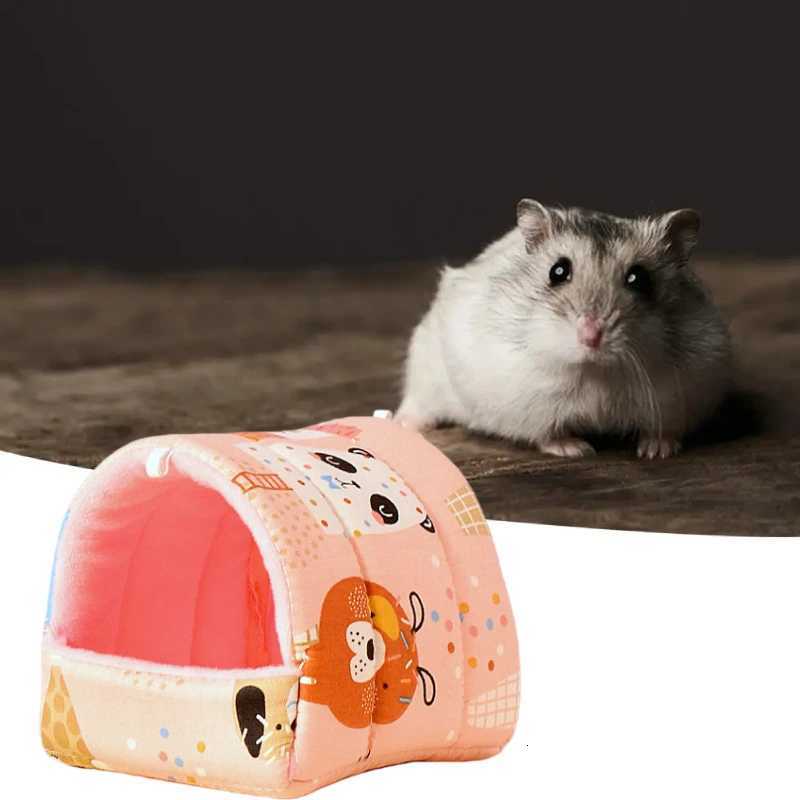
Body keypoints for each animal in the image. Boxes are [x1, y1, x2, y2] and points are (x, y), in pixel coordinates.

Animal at [396, 200, 731, 459]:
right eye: (557, 271)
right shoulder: (528, 406)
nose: (591, 336)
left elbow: (663, 430)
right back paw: (404, 425)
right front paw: (576, 449)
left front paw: (655, 451)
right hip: (424, 367)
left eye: (639, 278)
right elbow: (547, 432)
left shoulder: (686, 391)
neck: (596, 371)